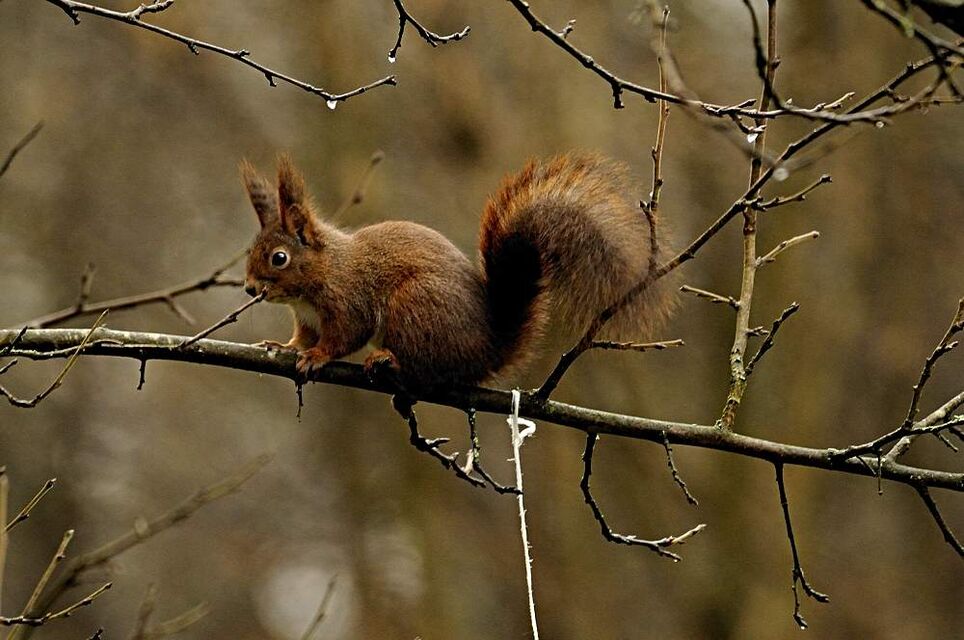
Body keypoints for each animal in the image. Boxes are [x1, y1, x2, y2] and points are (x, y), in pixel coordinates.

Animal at [241, 153, 674, 391]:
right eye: (251, 250)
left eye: (279, 258)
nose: (248, 288)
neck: (326, 269)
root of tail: (487, 350)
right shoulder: (307, 318)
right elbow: (302, 336)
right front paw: (285, 346)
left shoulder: (349, 300)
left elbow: (345, 335)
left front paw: (316, 356)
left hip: (416, 306)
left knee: (427, 369)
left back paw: (388, 360)